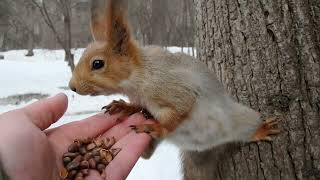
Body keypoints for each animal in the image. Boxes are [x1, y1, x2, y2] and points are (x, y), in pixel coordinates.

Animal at [69, 0, 278, 158]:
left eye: (97, 64)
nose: (72, 87)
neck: (139, 76)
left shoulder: (171, 87)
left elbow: (180, 110)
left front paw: (157, 127)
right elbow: (138, 106)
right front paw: (124, 106)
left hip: (240, 118)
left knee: (247, 127)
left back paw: (261, 130)